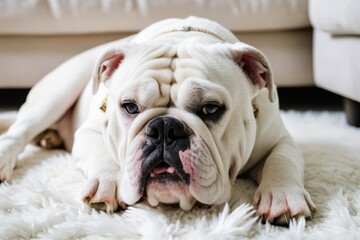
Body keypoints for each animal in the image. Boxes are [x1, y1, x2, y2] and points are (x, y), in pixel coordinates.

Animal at [0, 16, 316, 225]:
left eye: (211, 109)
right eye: (129, 107)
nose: (165, 127)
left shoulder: (280, 139)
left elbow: (282, 160)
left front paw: (283, 197)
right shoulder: (88, 132)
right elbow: (103, 154)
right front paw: (108, 183)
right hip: (54, 95)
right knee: (18, 132)